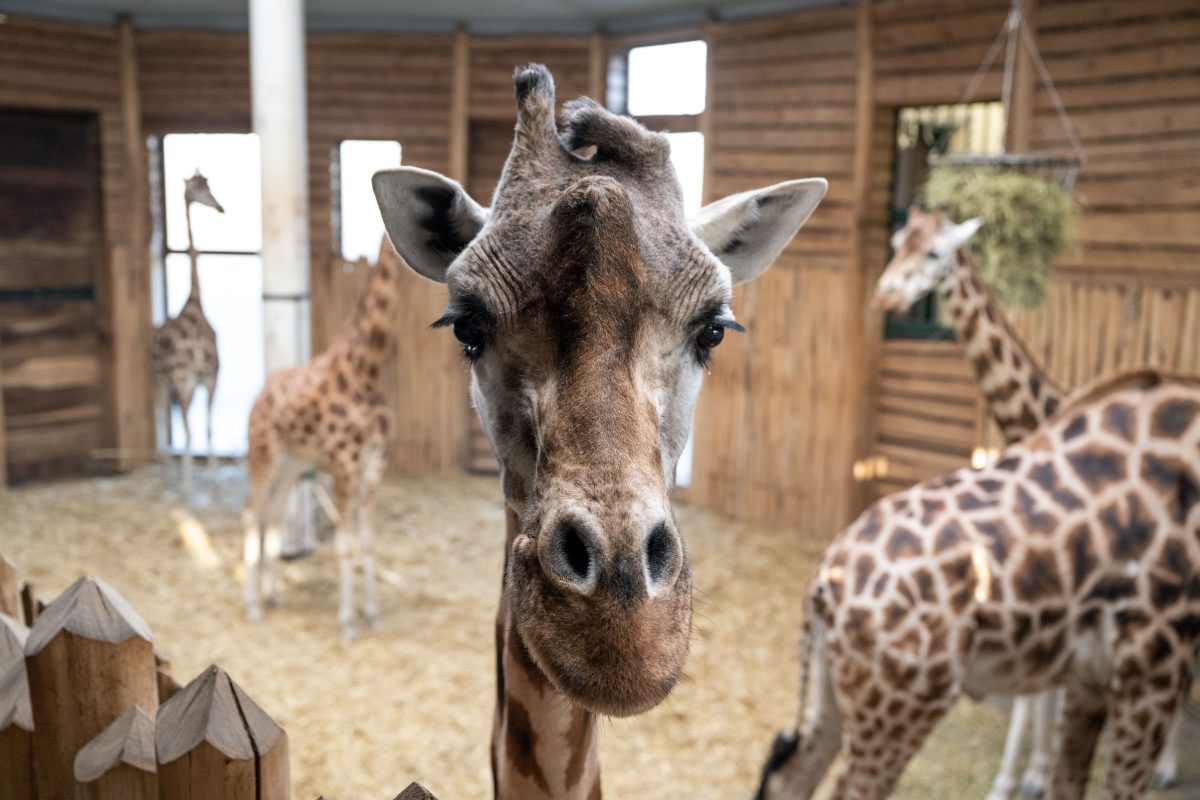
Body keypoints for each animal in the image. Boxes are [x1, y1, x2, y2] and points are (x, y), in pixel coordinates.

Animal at [240, 247, 398, 642]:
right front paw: (348, 623)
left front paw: (372, 614)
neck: (367, 367)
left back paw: (273, 596)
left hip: (292, 462)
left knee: (274, 513)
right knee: (251, 511)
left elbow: (367, 539)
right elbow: (344, 543)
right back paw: (252, 605)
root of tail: (260, 396)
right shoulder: (344, 463)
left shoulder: (374, 463)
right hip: (263, 453)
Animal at [758, 371, 1200, 800]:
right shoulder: (1149, 674)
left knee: (789, 777)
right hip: (896, 711)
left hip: (840, 691)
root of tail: (823, 585)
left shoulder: (1093, 681)